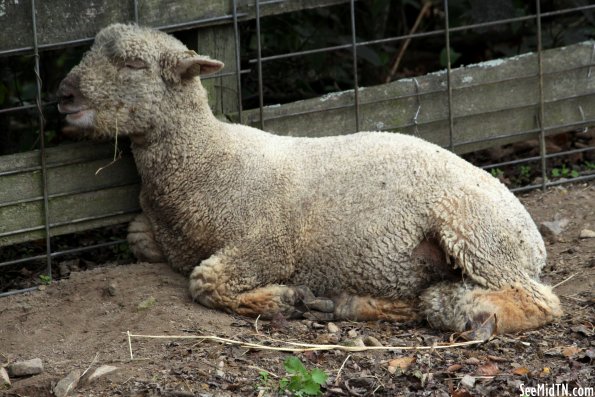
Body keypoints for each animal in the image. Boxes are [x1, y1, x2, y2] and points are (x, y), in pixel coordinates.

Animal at [57, 24, 564, 338]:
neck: (207, 160)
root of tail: (533, 240)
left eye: (133, 65)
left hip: (476, 231)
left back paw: (457, 307)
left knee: (539, 302)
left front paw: (284, 300)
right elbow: (138, 238)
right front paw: (295, 300)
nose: (64, 95)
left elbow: (204, 281)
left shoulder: (267, 243)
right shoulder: (159, 231)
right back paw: (362, 303)